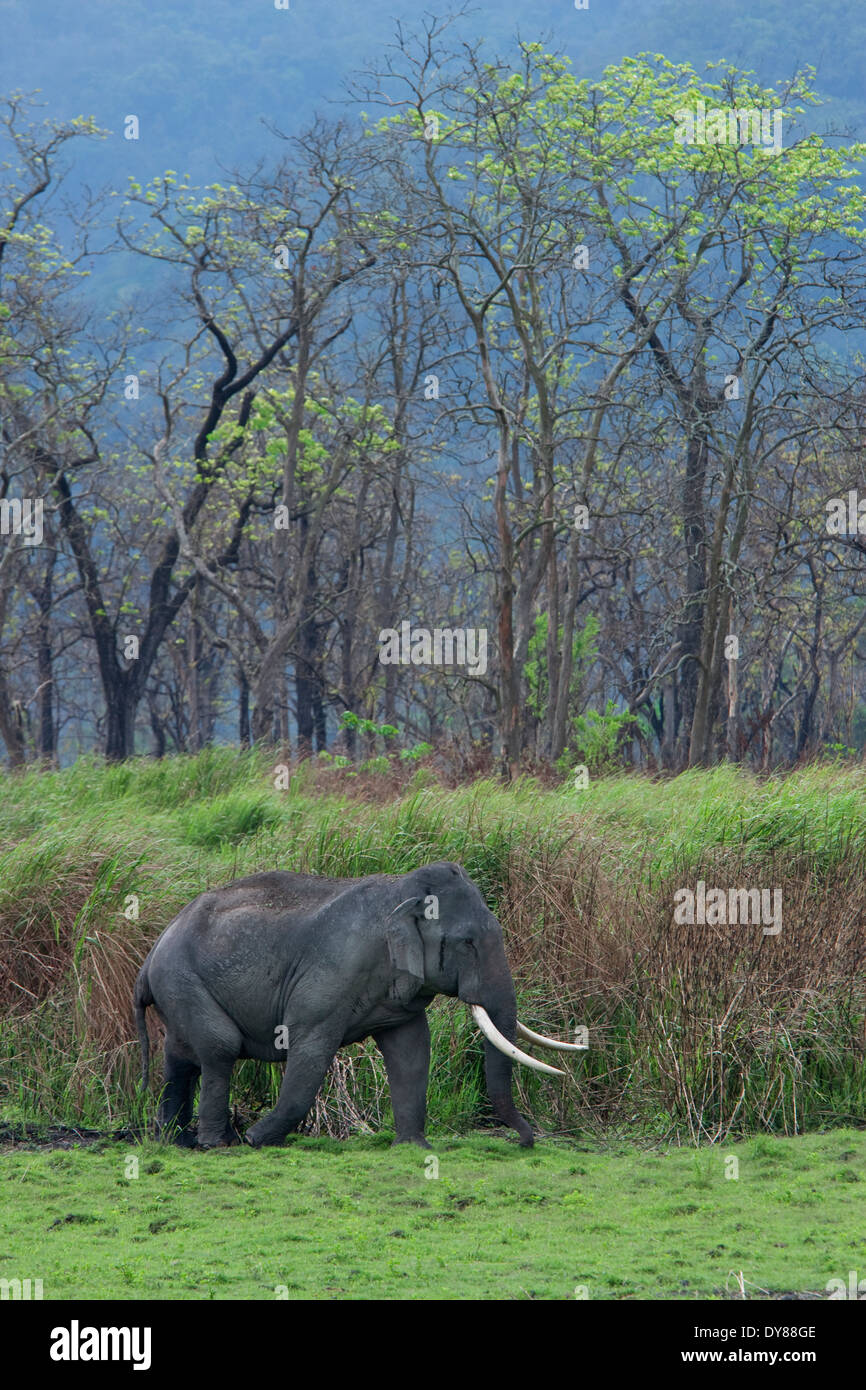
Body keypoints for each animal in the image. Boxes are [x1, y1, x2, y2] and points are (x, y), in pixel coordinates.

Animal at [134, 856, 583, 1150]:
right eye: (467, 943)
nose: (525, 1142)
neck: (401, 891)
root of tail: (151, 954)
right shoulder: (328, 977)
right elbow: (309, 1051)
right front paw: (257, 1139)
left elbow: (412, 1051)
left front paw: (413, 1148)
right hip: (182, 980)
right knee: (219, 1048)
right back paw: (218, 1144)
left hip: (178, 991)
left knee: (180, 1057)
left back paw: (173, 1140)